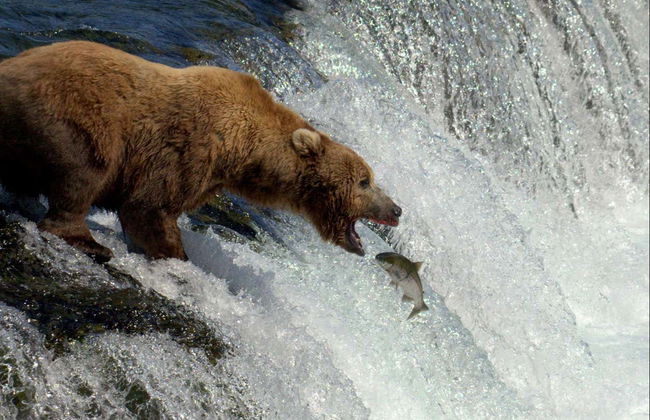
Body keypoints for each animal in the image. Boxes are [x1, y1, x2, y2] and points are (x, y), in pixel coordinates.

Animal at [0, 41, 401, 262]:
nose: (396, 209)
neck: (244, 152)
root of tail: (11, 65)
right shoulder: (189, 147)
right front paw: (176, 255)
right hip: (70, 116)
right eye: (364, 181)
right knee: (84, 172)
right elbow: (148, 207)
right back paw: (88, 242)